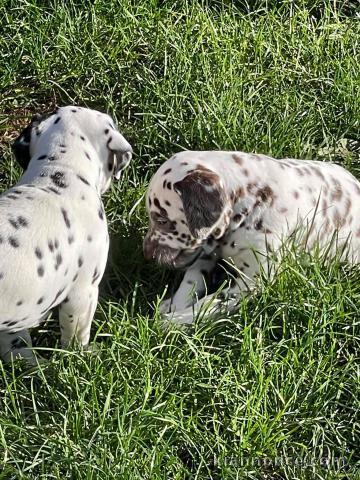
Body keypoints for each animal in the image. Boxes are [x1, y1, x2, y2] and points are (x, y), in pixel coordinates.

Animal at [144, 150, 360, 322]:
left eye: (161, 220)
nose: (147, 253)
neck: (251, 204)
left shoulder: (251, 282)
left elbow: (210, 303)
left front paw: (174, 322)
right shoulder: (205, 255)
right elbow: (190, 282)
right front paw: (173, 305)